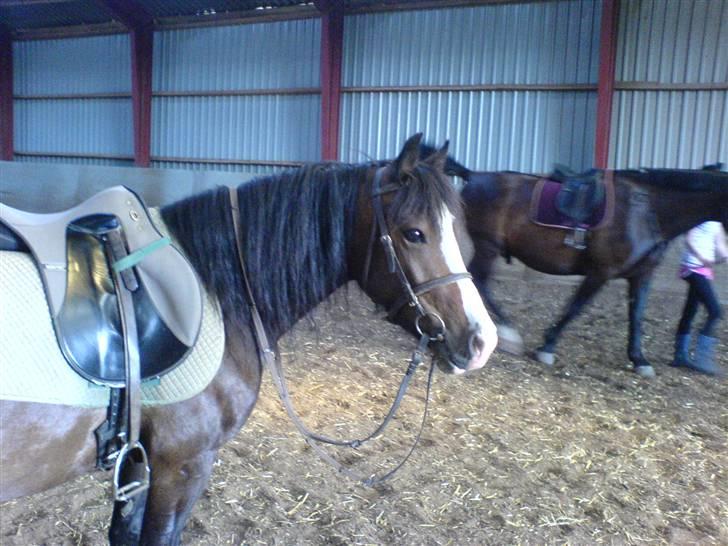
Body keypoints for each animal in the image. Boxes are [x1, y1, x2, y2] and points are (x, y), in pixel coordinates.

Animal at [0, 134, 497, 545]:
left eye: (459, 230)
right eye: (415, 233)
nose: (482, 342)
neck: (216, 286)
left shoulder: (137, 464)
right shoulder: (182, 465)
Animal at [420, 146, 727, 377]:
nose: (721, 254)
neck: (646, 209)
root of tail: (474, 176)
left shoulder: (642, 275)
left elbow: (636, 316)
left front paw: (640, 359)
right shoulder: (601, 272)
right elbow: (575, 308)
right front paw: (547, 346)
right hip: (488, 246)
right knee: (480, 281)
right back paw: (509, 333)